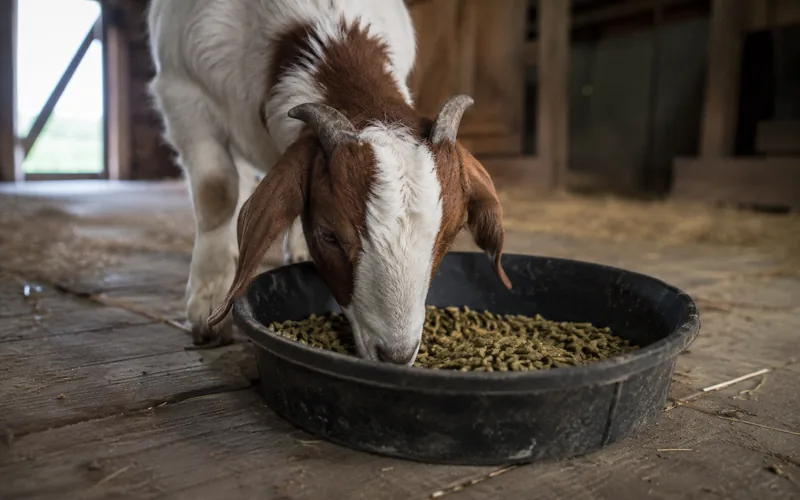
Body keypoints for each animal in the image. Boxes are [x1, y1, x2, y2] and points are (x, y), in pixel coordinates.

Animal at [147, 0, 511, 365]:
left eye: (450, 234)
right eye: (329, 235)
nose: (395, 355)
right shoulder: (182, 88)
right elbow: (216, 190)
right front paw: (207, 304)